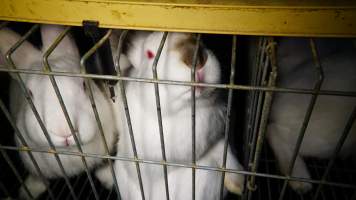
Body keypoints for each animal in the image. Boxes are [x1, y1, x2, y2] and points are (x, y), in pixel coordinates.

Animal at [0, 24, 119, 198]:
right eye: (29, 94)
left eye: (84, 84)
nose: (64, 132)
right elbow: (37, 176)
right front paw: (28, 191)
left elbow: (103, 164)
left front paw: (109, 179)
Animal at [108, 31, 245, 200]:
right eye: (149, 54)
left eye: (199, 39)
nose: (195, 59)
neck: (188, 113)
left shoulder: (217, 136)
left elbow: (224, 152)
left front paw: (239, 184)